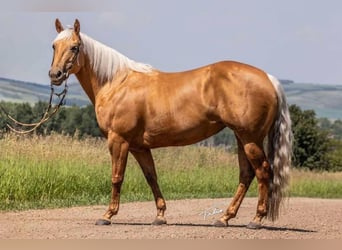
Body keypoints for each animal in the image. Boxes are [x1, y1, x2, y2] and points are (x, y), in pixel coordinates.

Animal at [49, 18, 292, 228]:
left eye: (74, 47)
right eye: (54, 46)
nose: (55, 74)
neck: (116, 83)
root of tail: (269, 79)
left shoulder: (118, 140)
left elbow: (117, 177)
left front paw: (107, 215)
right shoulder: (139, 147)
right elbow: (151, 177)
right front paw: (160, 215)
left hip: (250, 138)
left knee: (263, 172)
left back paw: (256, 219)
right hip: (242, 138)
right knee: (246, 174)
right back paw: (224, 217)